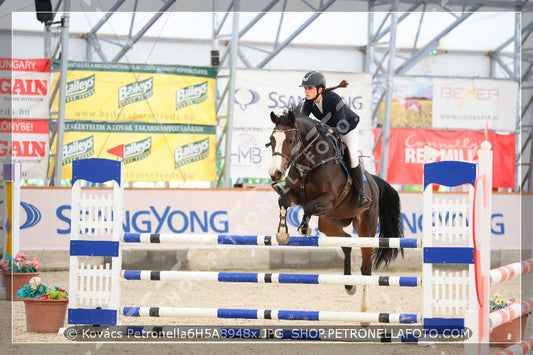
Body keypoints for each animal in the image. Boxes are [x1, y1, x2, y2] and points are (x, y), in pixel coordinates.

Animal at [268, 109, 402, 314]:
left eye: (290, 140)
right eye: (272, 139)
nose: (275, 174)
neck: (310, 161)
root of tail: (374, 182)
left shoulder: (328, 201)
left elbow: (309, 207)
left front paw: (304, 228)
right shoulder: (294, 196)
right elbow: (282, 200)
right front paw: (282, 234)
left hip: (366, 228)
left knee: (366, 267)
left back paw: (364, 308)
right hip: (329, 223)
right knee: (346, 242)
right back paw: (349, 286)